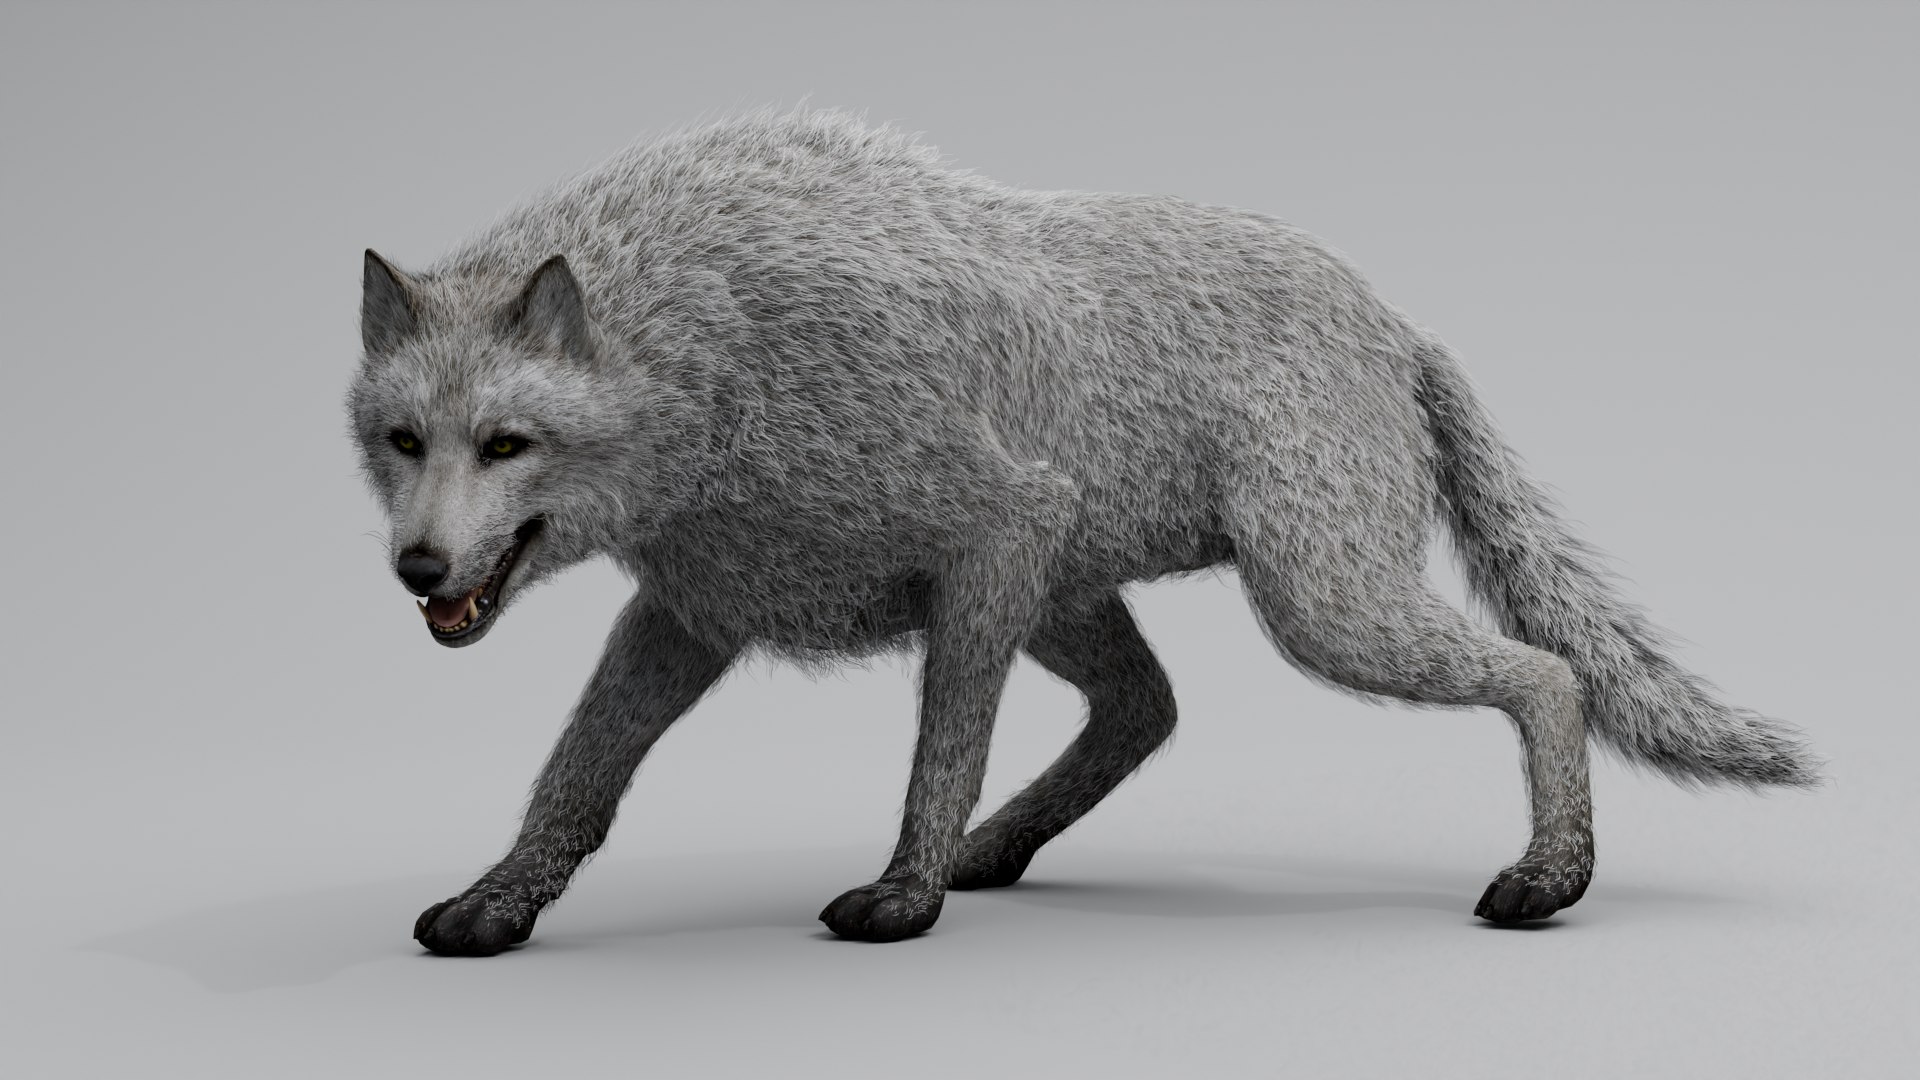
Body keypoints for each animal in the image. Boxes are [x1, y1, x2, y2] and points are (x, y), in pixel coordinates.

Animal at [347, 108, 1821, 957]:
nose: (418, 568)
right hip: (1091, 600)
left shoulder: (995, 531)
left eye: (506, 445)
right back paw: (1005, 851)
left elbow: (940, 750)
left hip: (1315, 609)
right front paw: (495, 908)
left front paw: (905, 898)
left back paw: (1549, 880)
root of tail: (1400, 323)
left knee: (1548, 673)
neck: (714, 355)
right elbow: (574, 779)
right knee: (1149, 708)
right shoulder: (696, 612)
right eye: (404, 442)